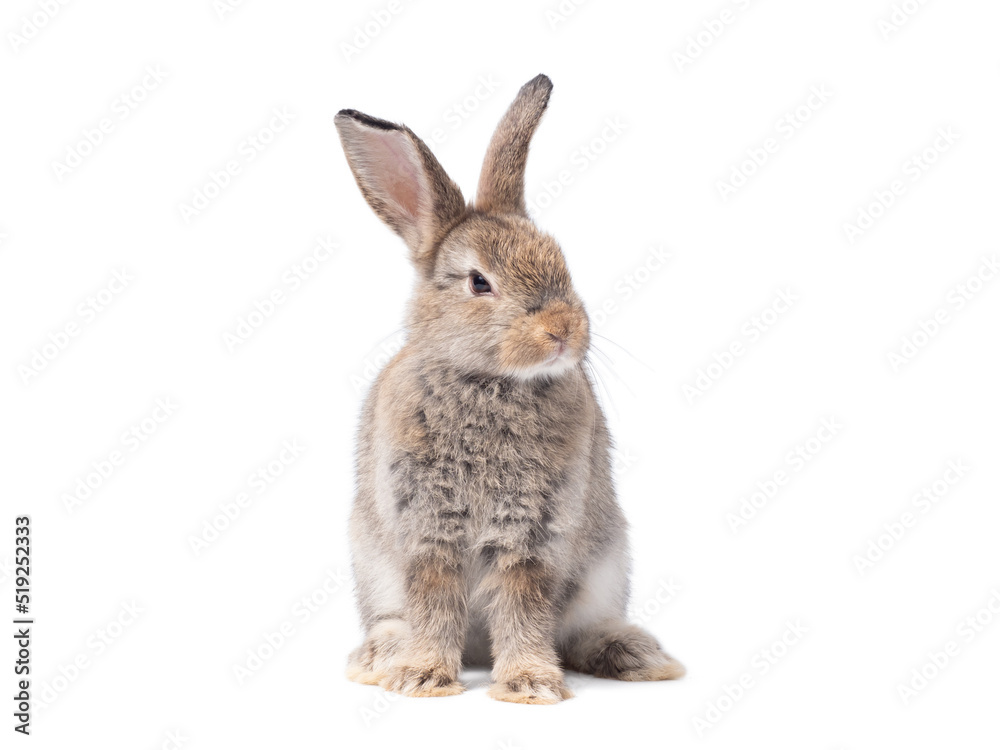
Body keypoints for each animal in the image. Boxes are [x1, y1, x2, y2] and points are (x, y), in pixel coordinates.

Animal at [335, 74, 684, 704]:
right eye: (479, 283)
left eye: (561, 261)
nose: (563, 330)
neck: (490, 384)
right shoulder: (429, 531)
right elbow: (434, 604)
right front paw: (424, 679)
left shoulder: (533, 535)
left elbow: (524, 607)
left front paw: (529, 685)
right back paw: (381, 658)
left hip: (606, 566)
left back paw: (634, 655)